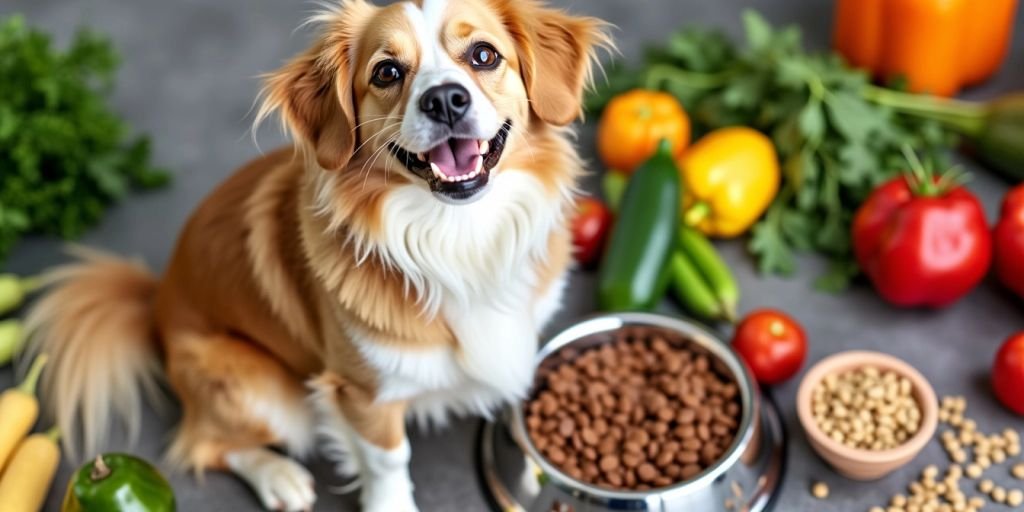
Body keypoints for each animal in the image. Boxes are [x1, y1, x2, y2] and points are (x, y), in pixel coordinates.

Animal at [24, 0, 610, 509]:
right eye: (387, 72)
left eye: (484, 55)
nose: (445, 99)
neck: (458, 233)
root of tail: (157, 296)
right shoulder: (361, 391)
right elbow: (388, 459)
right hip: (264, 392)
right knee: (204, 444)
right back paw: (279, 476)